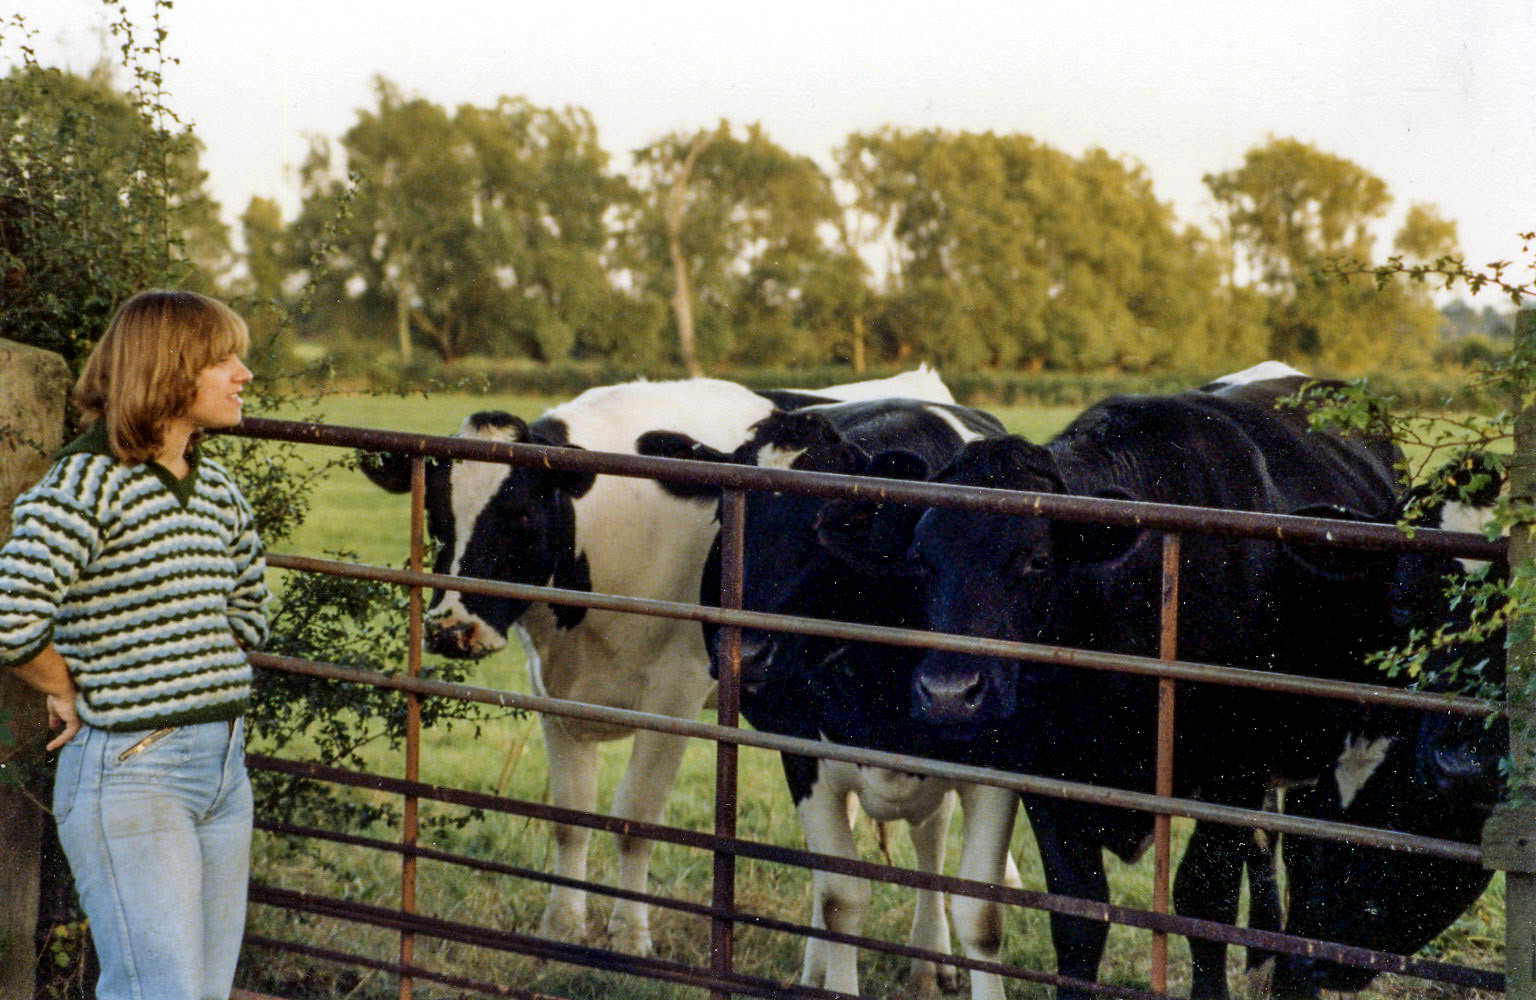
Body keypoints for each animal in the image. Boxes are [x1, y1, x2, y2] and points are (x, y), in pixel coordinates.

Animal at [359, 368, 955, 955]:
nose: (452, 629)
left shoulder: (675, 693)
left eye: (522, 515)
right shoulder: (552, 689)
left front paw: (628, 934)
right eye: (437, 514)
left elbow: (636, 820)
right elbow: (568, 818)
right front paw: (562, 927)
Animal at [638, 397, 1021, 997]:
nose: (744, 653)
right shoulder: (802, 753)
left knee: (930, 836)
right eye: (726, 515)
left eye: (823, 525)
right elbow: (842, 896)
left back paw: (929, 960)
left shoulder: (998, 763)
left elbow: (980, 914)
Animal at [819, 368, 1413, 1000]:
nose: (950, 694)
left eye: (1036, 560)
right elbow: (1078, 914)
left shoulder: (1230, 774)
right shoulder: (1046, 775)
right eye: (920, 559)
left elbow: (1203, 904)